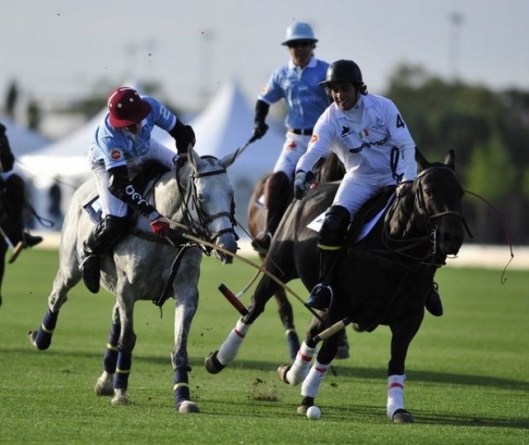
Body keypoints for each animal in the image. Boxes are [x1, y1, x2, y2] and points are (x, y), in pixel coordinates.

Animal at [26, 147, 237, 412]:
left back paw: (105, 381)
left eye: (231, 194)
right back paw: (41, 339)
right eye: (201, 196)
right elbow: (127, 340)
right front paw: (121, 393)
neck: (168, 235)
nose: (227, 245)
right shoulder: (128, 289)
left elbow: (179, 347)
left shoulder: (187, 293)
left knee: (114, 319)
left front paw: (183, 397)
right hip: (71, 268)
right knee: (57, 296)